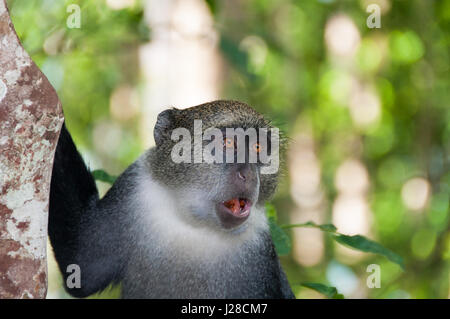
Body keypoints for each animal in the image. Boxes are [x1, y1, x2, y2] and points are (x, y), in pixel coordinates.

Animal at [48, 100, 296, 300]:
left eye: (258, 147)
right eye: (227, 143)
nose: (250, 175)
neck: (196, 224)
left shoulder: (260, 248)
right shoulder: (136, 187)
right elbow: (82, 263)